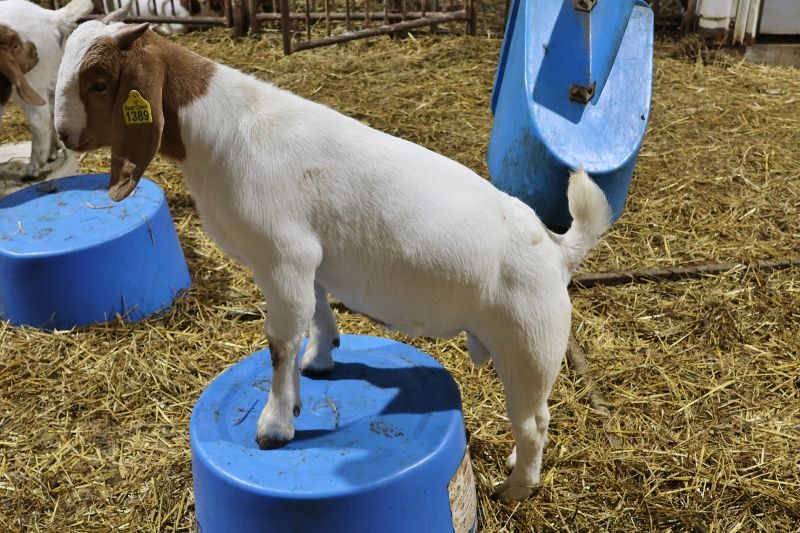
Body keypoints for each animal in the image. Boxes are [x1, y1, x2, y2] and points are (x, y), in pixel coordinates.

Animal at [54, 10, 612, 503]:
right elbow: (317, 312)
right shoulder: (307, 261)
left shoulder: (283, 256)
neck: (221, 130)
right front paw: (319, 364)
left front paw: (274, 426)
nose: (63, 135)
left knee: (533, 422)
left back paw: (516, 487)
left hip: (529, 346)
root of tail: (559, 251)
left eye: (99, 83)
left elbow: (279, 341)